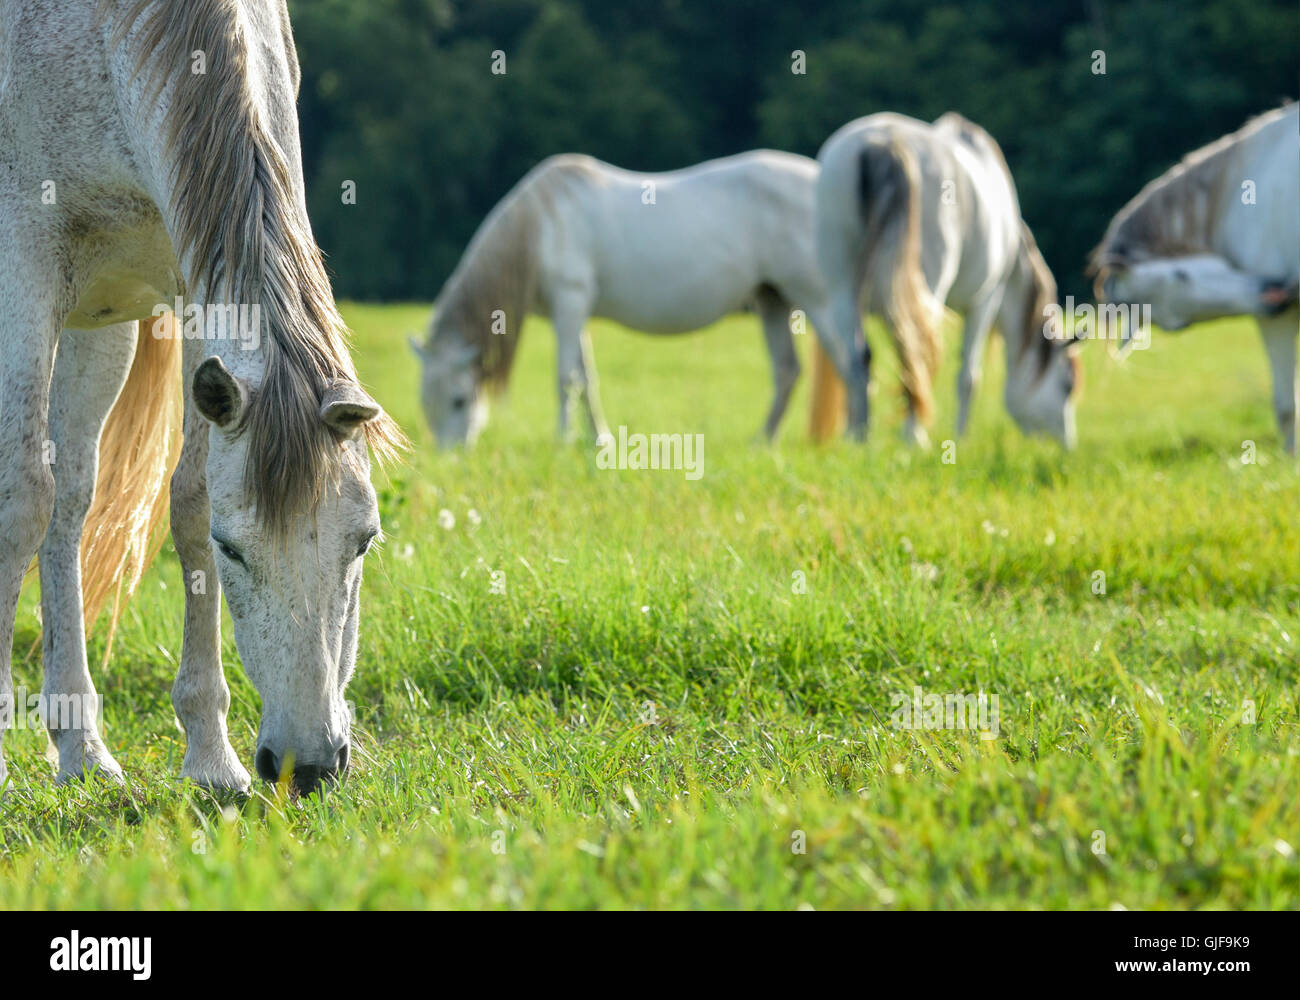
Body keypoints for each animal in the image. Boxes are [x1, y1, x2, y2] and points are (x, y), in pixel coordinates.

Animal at [0, 0, 400, 795]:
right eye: (235, 550)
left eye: (364, 540)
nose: (308, 765)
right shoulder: (22, 264)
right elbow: (20, 497)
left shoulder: (192, 296)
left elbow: (184, 501)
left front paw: (212, 757)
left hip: (98, 331)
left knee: (72, 497)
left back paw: (82, 747)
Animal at [405, 150, 837, 444]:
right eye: (425, 402)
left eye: (460, 400)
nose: (451, 458)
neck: (542, 226)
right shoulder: (575, 313)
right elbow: (586, 378)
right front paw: (598, 440)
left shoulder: (570, 303)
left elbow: (566, 377)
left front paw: (563, 440)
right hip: (772, 299)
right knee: (787, 371)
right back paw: (762, 441)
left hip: (816, 298)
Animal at [806, 107, 1081, 444]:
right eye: (1067, 386)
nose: (1068, 445)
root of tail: (882, 141)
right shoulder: (986, 299)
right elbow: (968, 376)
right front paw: (961, 438)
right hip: (927, 287)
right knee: (914, 354)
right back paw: (913, 436)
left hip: (842, 286)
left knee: (858, 358)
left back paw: (860, 436)